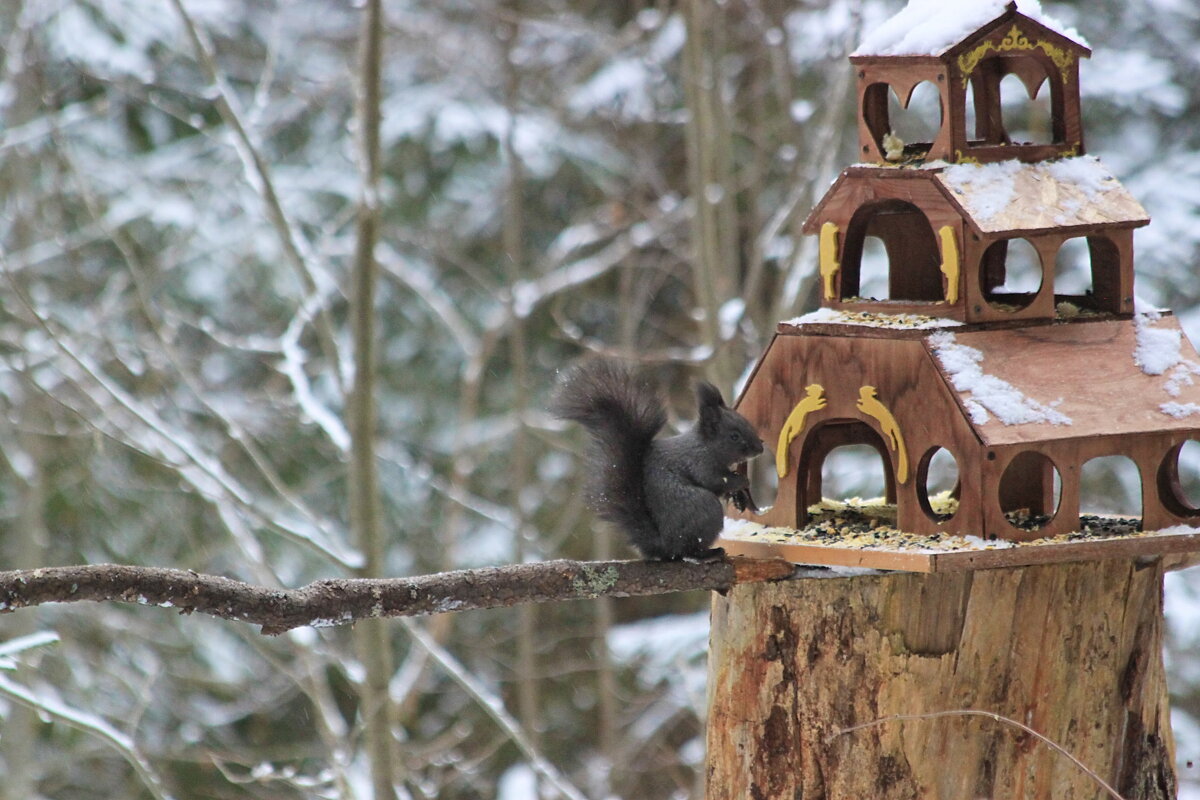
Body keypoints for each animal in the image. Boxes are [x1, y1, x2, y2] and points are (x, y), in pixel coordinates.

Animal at [549, 359, 763, 561]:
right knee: (688, 550)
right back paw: (709, 554)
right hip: (703, 509)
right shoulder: (699, 462)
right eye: (734, 436)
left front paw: (737, 493)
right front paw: (741, 481)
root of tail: (663, 543)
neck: (705, 445)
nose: (760, 448)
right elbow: (714, 480)